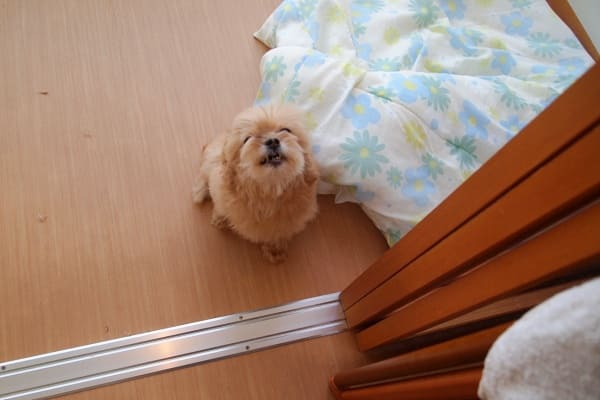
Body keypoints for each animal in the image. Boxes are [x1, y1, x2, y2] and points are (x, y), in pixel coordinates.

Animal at [192, 104, 319, 263]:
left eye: (286, 130)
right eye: (247, 139)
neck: (270, 188)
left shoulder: (284, 224)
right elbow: (221, 207)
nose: (272, 141)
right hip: (211, 158)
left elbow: (278, 234)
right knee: (204, 175)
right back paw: (199, 192)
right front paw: (220, 218)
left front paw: (275, 249)